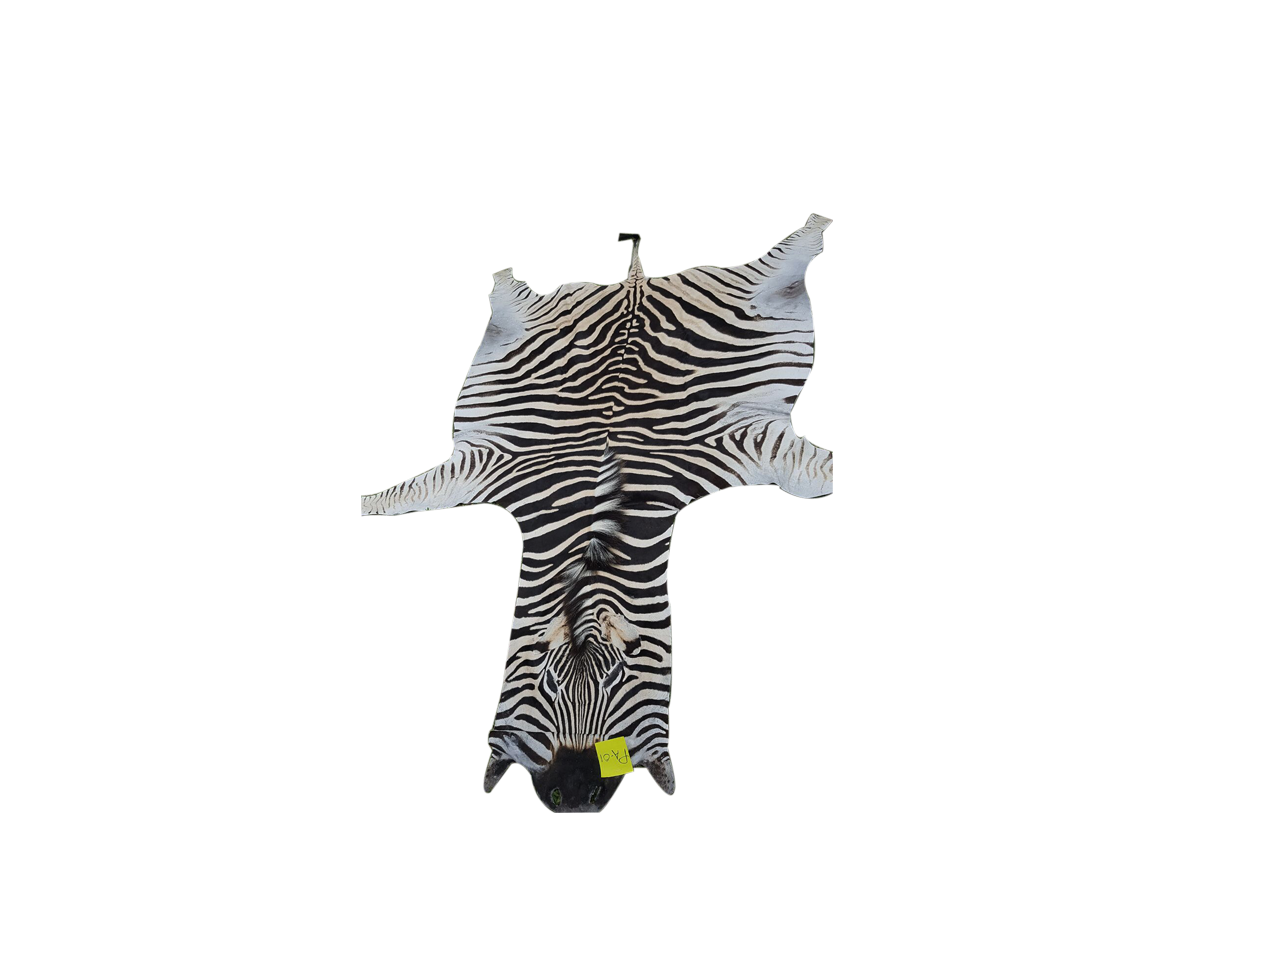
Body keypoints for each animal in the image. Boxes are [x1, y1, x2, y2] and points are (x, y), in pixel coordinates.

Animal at [359, 214, 834, 812]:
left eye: (620, 682)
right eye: (545, 684)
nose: (576, 795)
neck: (594, 528)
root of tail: (634, 283)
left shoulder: (742, 442)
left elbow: (811, 470)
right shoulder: (487, 464)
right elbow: (390, 500)